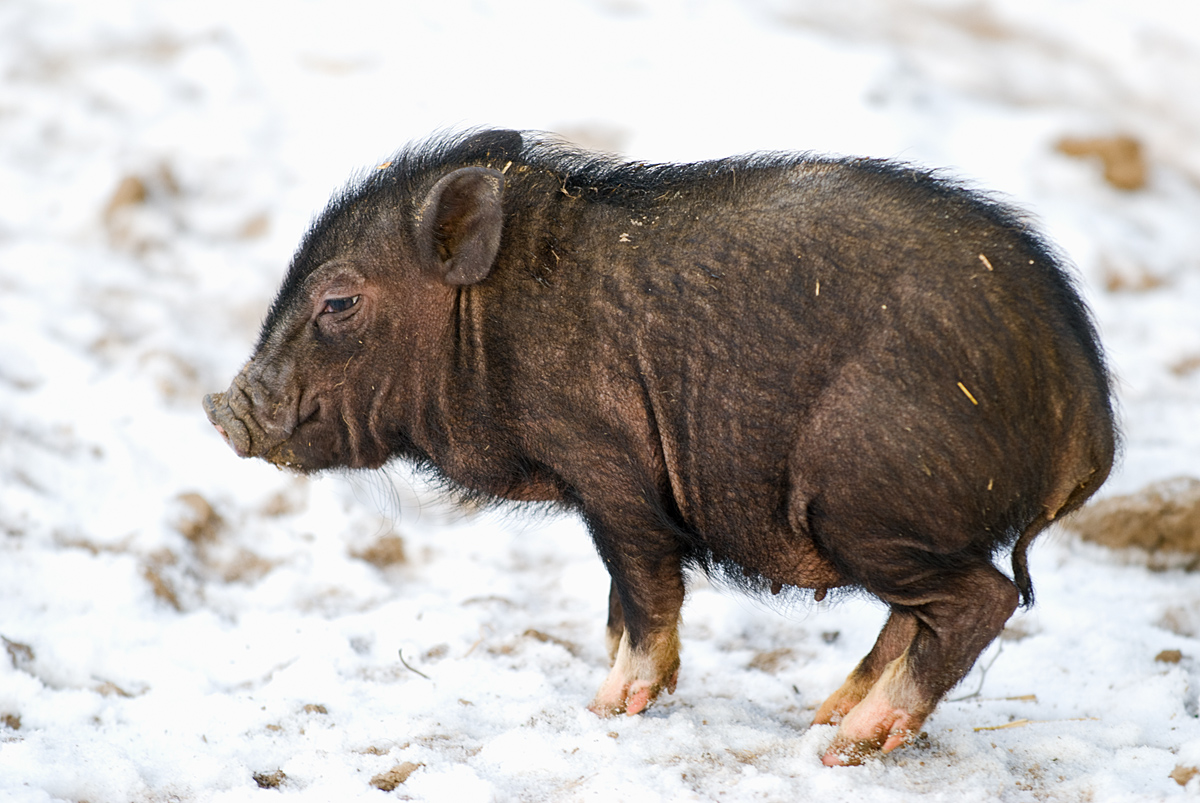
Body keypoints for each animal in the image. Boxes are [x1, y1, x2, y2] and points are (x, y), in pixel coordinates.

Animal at [204, 128, 1113, 763]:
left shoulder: (610, 471)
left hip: (864, 500)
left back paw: (850, 743)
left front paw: (605, 708)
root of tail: (1089, 422)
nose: (222, 408)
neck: (487, 318)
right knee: (920, 609)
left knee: (981, 598)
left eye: (339, 302)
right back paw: (823, 716)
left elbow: (645, 591)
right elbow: (619, 603)